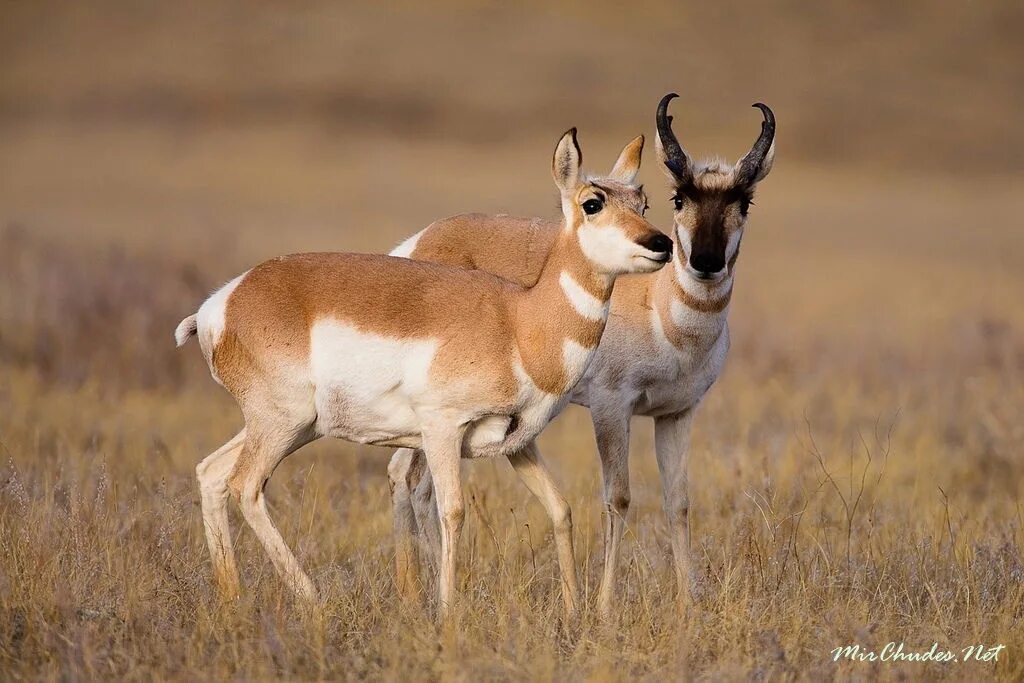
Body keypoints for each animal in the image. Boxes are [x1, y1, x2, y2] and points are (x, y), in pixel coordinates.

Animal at [176, 126, 671, 614]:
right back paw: (311, 598)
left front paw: (572, 614)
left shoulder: (518, 444)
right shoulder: (441, 429)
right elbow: (452, 511)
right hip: (283, 424)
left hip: (294, 427)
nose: (662, 244)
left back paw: (233, 598)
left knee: (212, 474)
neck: (518, 320)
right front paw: (449, 613)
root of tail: (223, 303)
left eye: (643, 202)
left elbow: (560, 508)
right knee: (246, 486)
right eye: (593, 202)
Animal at [387, 93, 770, 618]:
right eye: (679, 198)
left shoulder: (676, 413)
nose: (705, 262)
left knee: (413, 482)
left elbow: (678, 500)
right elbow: (619, 497)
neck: (659, 307)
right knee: (407, 478)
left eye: (744, 201)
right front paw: (605, 607)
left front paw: (688, 602)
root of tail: (420, 243)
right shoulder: (611, 408)